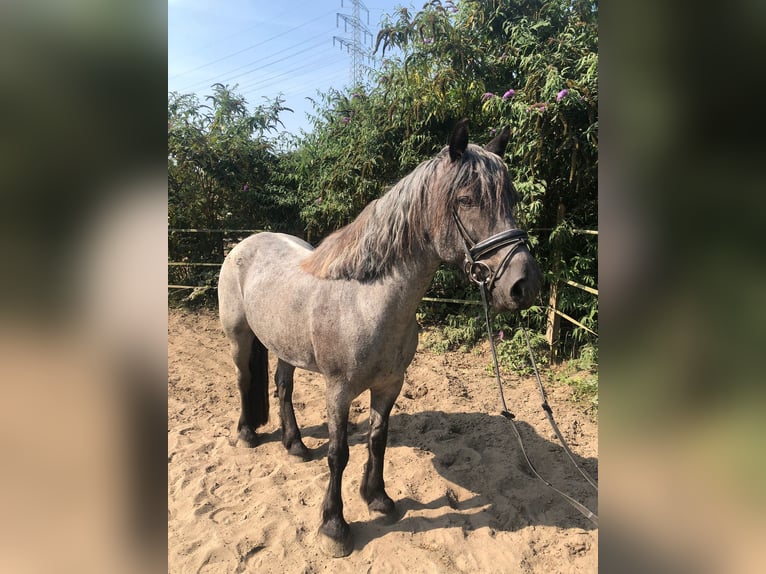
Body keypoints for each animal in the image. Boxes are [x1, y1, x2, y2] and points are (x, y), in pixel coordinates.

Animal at [214, 120, 540, 560]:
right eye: (467, 199)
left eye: (513, 198)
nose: (524, 285)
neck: (367, 300)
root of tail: (244, 244)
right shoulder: (338, 391)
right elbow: (339, 454)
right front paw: (334, 527)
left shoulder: (389, 385)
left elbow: (378, 440)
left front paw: (378, 499)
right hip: (239, 337)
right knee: (245, 381)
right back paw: (247, 434)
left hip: (285, 347)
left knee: (283, 387)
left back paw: (295, 445)